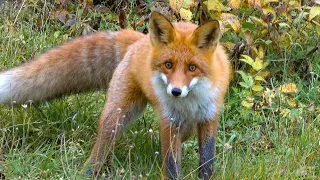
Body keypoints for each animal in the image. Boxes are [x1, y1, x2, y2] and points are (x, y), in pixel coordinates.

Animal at [0, 11, 230, 179]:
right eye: (168, 65)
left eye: (192, 68)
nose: (175, 91)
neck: (190, 102)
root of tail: (140, 39)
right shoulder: (170, 121)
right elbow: (172, 166)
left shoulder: (209, 117)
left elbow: (207, 161)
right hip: (117, 117)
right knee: (100, 148)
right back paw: (87, 172)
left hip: (186, 127)